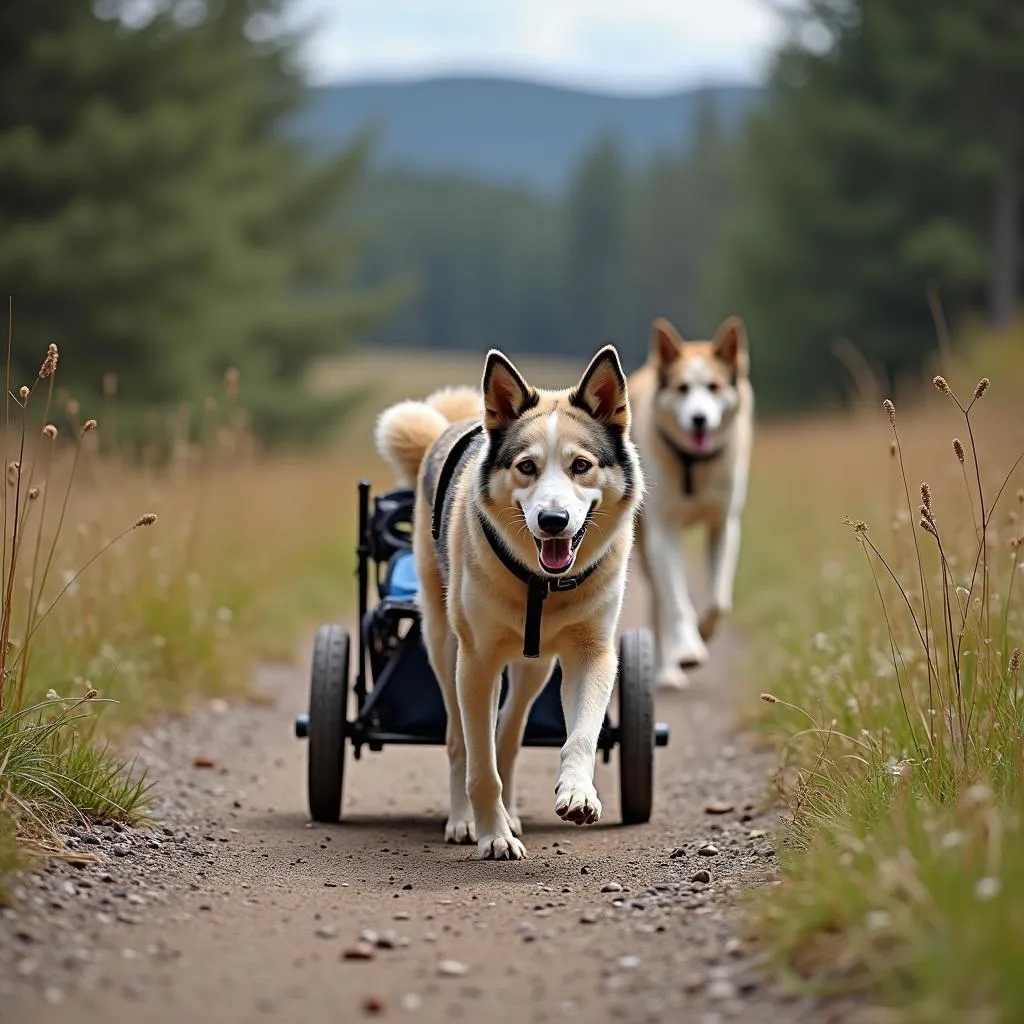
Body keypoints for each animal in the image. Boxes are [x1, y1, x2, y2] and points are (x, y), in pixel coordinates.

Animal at [376, 348, 643, 860]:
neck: (541, 585)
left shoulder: (593, 654)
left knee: (511, 732)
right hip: (442, 642)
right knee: (458, 739)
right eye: (527, 467)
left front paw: (577, 792)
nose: (554, 520)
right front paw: (492, 835)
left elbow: (580, 734)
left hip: (533, 668)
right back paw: (465, 821)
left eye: (582, 466)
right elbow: (479, 762)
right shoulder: (477, 662)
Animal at [622, 315, 753, 692]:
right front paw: (690, 647)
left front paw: (705, 632)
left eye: (713, 387)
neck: (693, 465)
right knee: (661, 603)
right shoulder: (664, 532)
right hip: (646, 542)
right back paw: (668, 667)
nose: (699, 419)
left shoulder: (724, 525)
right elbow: (678, 604)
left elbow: (719, 601)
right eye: (682, 389)